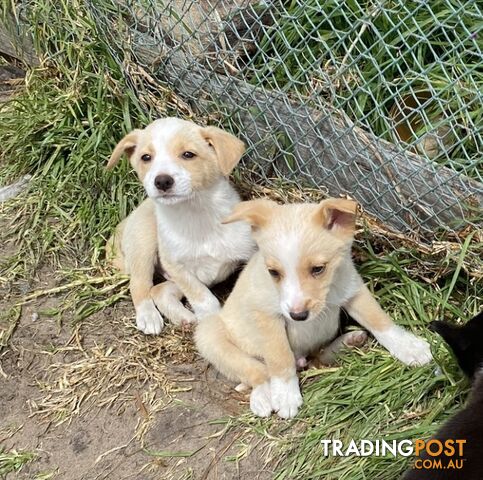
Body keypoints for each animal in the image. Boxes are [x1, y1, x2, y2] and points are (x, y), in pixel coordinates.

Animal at [107, 117, 255, 334]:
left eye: (188, 154)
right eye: (146, 157)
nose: (162, 181)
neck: (195, 215)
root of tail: (128, 219)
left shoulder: (250, 252)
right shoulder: (176, 266)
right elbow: (204, 299)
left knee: (159, 290)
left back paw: (184, 317)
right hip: (144, 243)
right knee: (140, 284)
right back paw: (149, 317)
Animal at [195, 197, 432, 418]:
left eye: (318, 269)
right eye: (273, 272)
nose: (298, 315)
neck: (328, 293)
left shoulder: (353, 290)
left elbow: (379, 320)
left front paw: (410, 347)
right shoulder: (266, 314)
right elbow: (279, 356)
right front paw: (286, 395)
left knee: (318, 356)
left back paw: (349, 341)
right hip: (209, 334)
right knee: (257, 371)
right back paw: (263, 397)